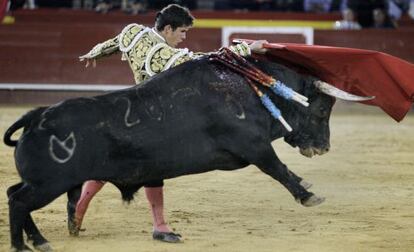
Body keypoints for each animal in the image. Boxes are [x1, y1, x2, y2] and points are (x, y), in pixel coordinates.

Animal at [3, 56, 334, 251]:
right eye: (320, 110)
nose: (324, 147)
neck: (252, 90)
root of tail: (37, 116)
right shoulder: (254, 145)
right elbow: (277, 168)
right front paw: (308, 195)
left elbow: (282, 170)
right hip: (48, 184)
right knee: (19, 202)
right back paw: (24, 245)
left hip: (43, 183)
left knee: (14, 195)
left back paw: (40, 240)